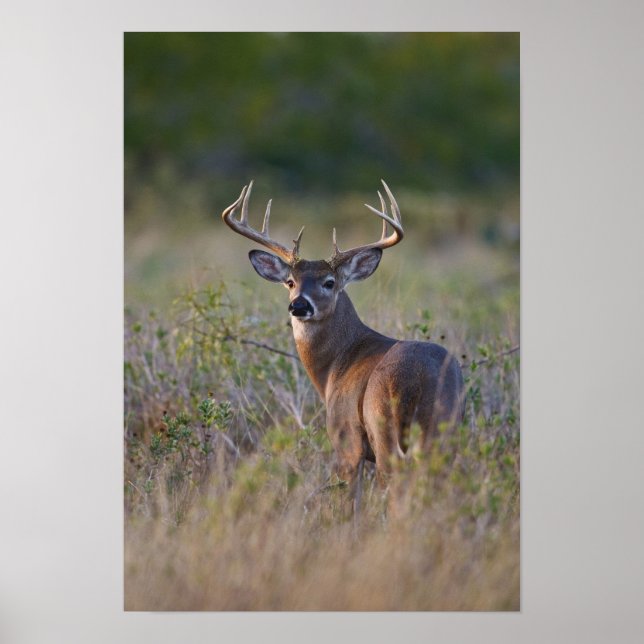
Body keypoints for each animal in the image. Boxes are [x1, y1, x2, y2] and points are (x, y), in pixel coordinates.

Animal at [221, 180, 465, 512]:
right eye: (290, 282)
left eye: (329, 282)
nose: (299, 306)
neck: (335, 365)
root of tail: (417, 379)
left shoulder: (344, 437)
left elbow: (350, 504)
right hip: (444, 430)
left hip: (383, 427)